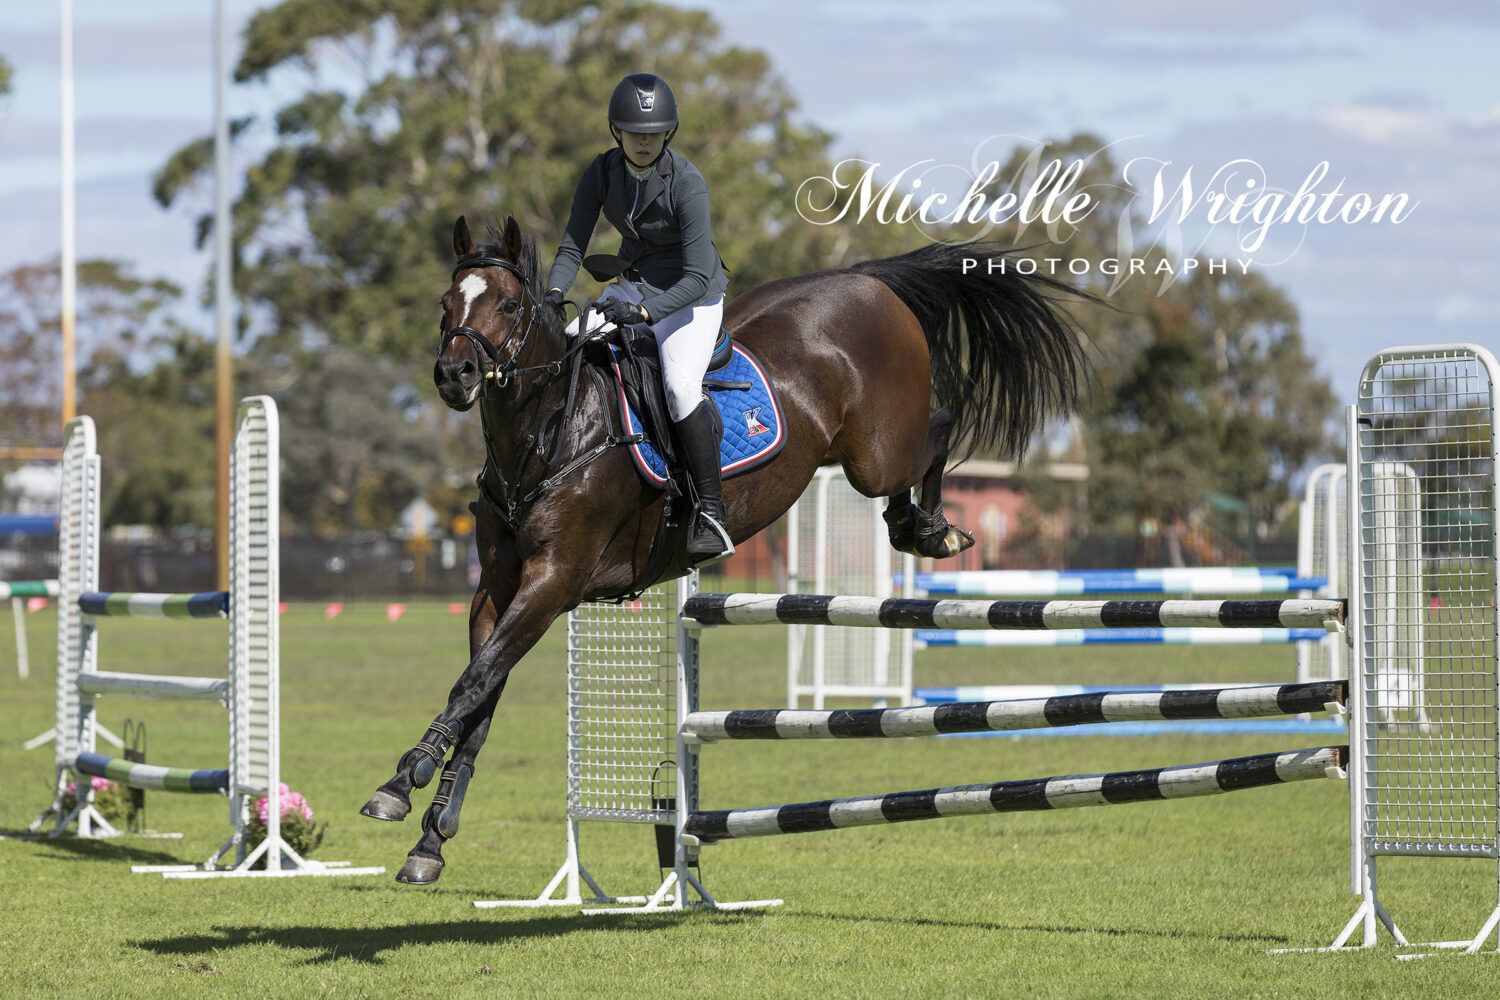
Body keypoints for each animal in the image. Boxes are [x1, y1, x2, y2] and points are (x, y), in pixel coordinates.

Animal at [363, 215, 1092, 881]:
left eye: (509, 306)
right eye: (445, 304)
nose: (454, 374)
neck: (551, 432)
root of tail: (863, 280)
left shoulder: (554, 581)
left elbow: (474, 681)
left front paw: (401, 782)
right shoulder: (499, 589)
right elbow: (481, 696)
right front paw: (431, 835)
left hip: (877, 453)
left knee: (940, 428)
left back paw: (931, 528)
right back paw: (917, 523)